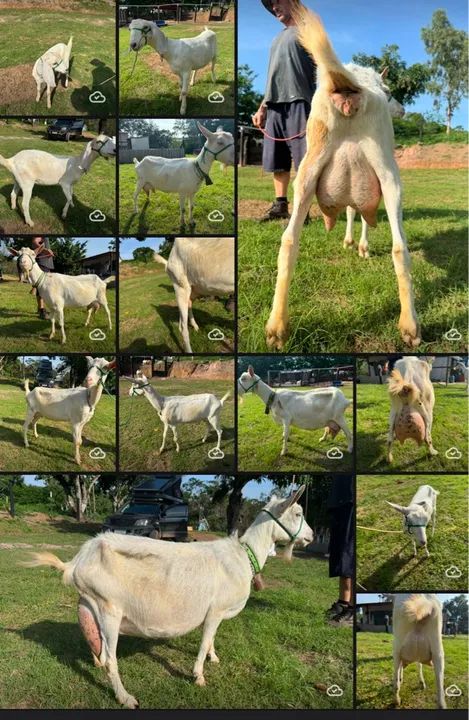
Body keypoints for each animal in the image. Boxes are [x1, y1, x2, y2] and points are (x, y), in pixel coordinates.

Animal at [25, 485, 313, 708]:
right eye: (298, 512)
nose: (310, 537)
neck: (243, 556)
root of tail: (77, 561)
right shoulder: (215, 610)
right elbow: (205, 640)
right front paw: (198, 676)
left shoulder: (216, 613)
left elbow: (211, 639)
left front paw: (214, 658)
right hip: (109, 609)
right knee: (109, 660)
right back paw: (126, 698)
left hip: (90, 604)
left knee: (97, 649)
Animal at [265, 7, 420, 350]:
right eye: (390, 93)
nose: (402, 109)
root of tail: (347, 85)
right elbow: (361, 216)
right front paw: (360, 247)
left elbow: (351, 210)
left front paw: (350, 243)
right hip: (389, 173)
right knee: (399, 247)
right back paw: (410, 326)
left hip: (307, 171)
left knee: (289, 240)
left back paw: (276, 328)